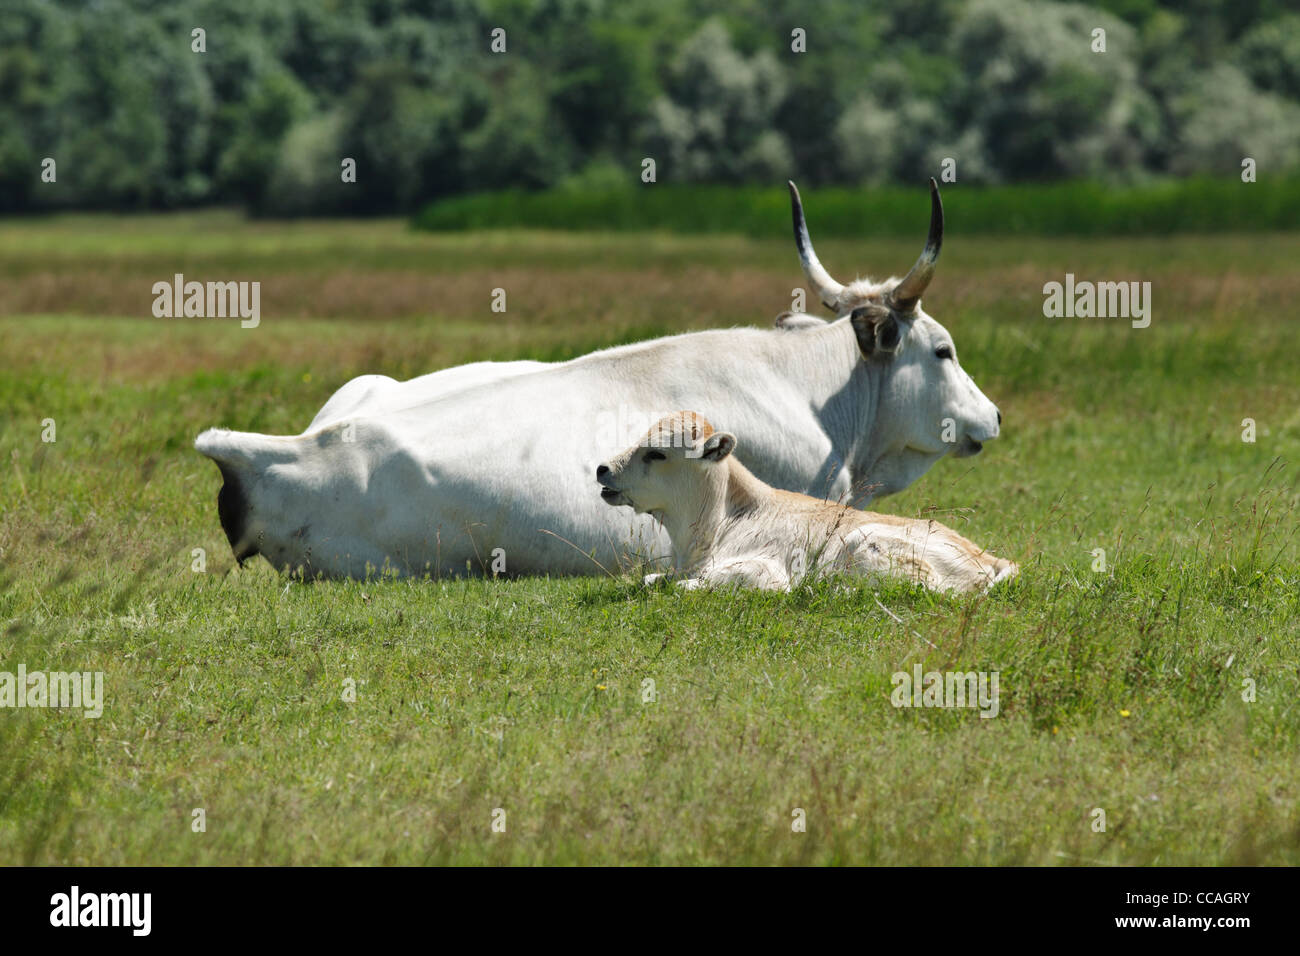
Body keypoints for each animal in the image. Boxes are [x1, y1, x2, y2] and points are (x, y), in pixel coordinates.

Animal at [596, 411, 1017, 593]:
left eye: (657, 453)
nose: (602, 468)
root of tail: (990, 557)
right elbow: (653, 579)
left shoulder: (763, 571)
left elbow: (693, 586)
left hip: (865, 542)